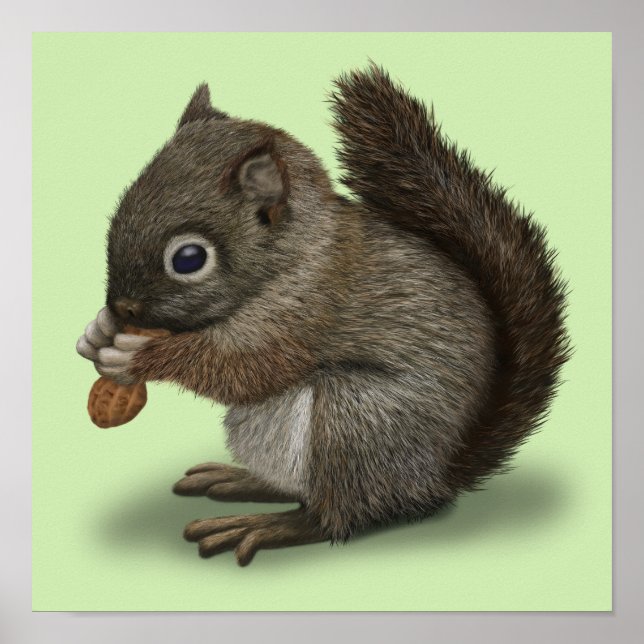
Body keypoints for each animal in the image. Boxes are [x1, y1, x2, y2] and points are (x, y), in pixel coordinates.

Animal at [76, 64, 570, 566]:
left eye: (189, 258)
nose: (122, 307)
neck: (296, 255)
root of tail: (436, 477)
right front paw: (97, 333)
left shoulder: (306, 311)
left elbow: (241, 369)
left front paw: (136, 356)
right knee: (298, 490)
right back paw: (240, 480)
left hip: (357, 422)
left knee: (336, 516)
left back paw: (264, 526)